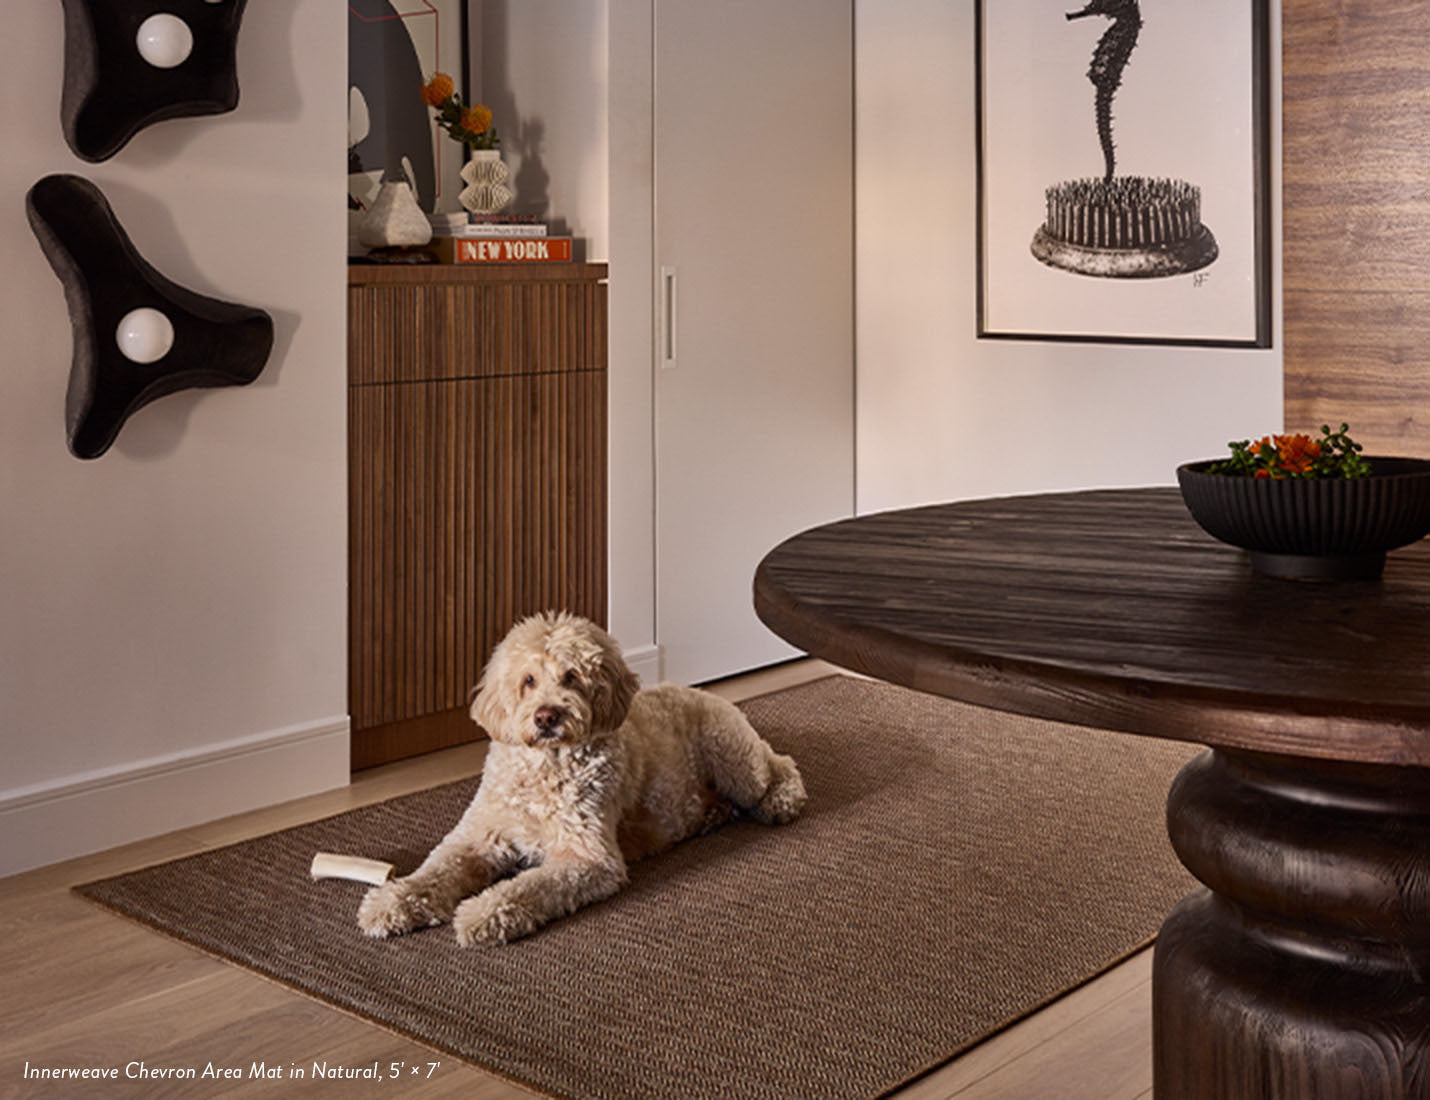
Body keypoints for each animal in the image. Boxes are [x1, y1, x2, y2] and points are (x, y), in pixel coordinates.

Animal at [357, 611, 807, 947]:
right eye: (528, 681)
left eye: (571, 677)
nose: (547, 716)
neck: (545, 769)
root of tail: (703, 691)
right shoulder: (477, 838)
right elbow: (436, 870)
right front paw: (391, 902)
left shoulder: (586, 858)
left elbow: (528, 886)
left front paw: (483, 914)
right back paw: (711, 815)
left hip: (734, 758)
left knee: (779, 763)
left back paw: (782, 799)